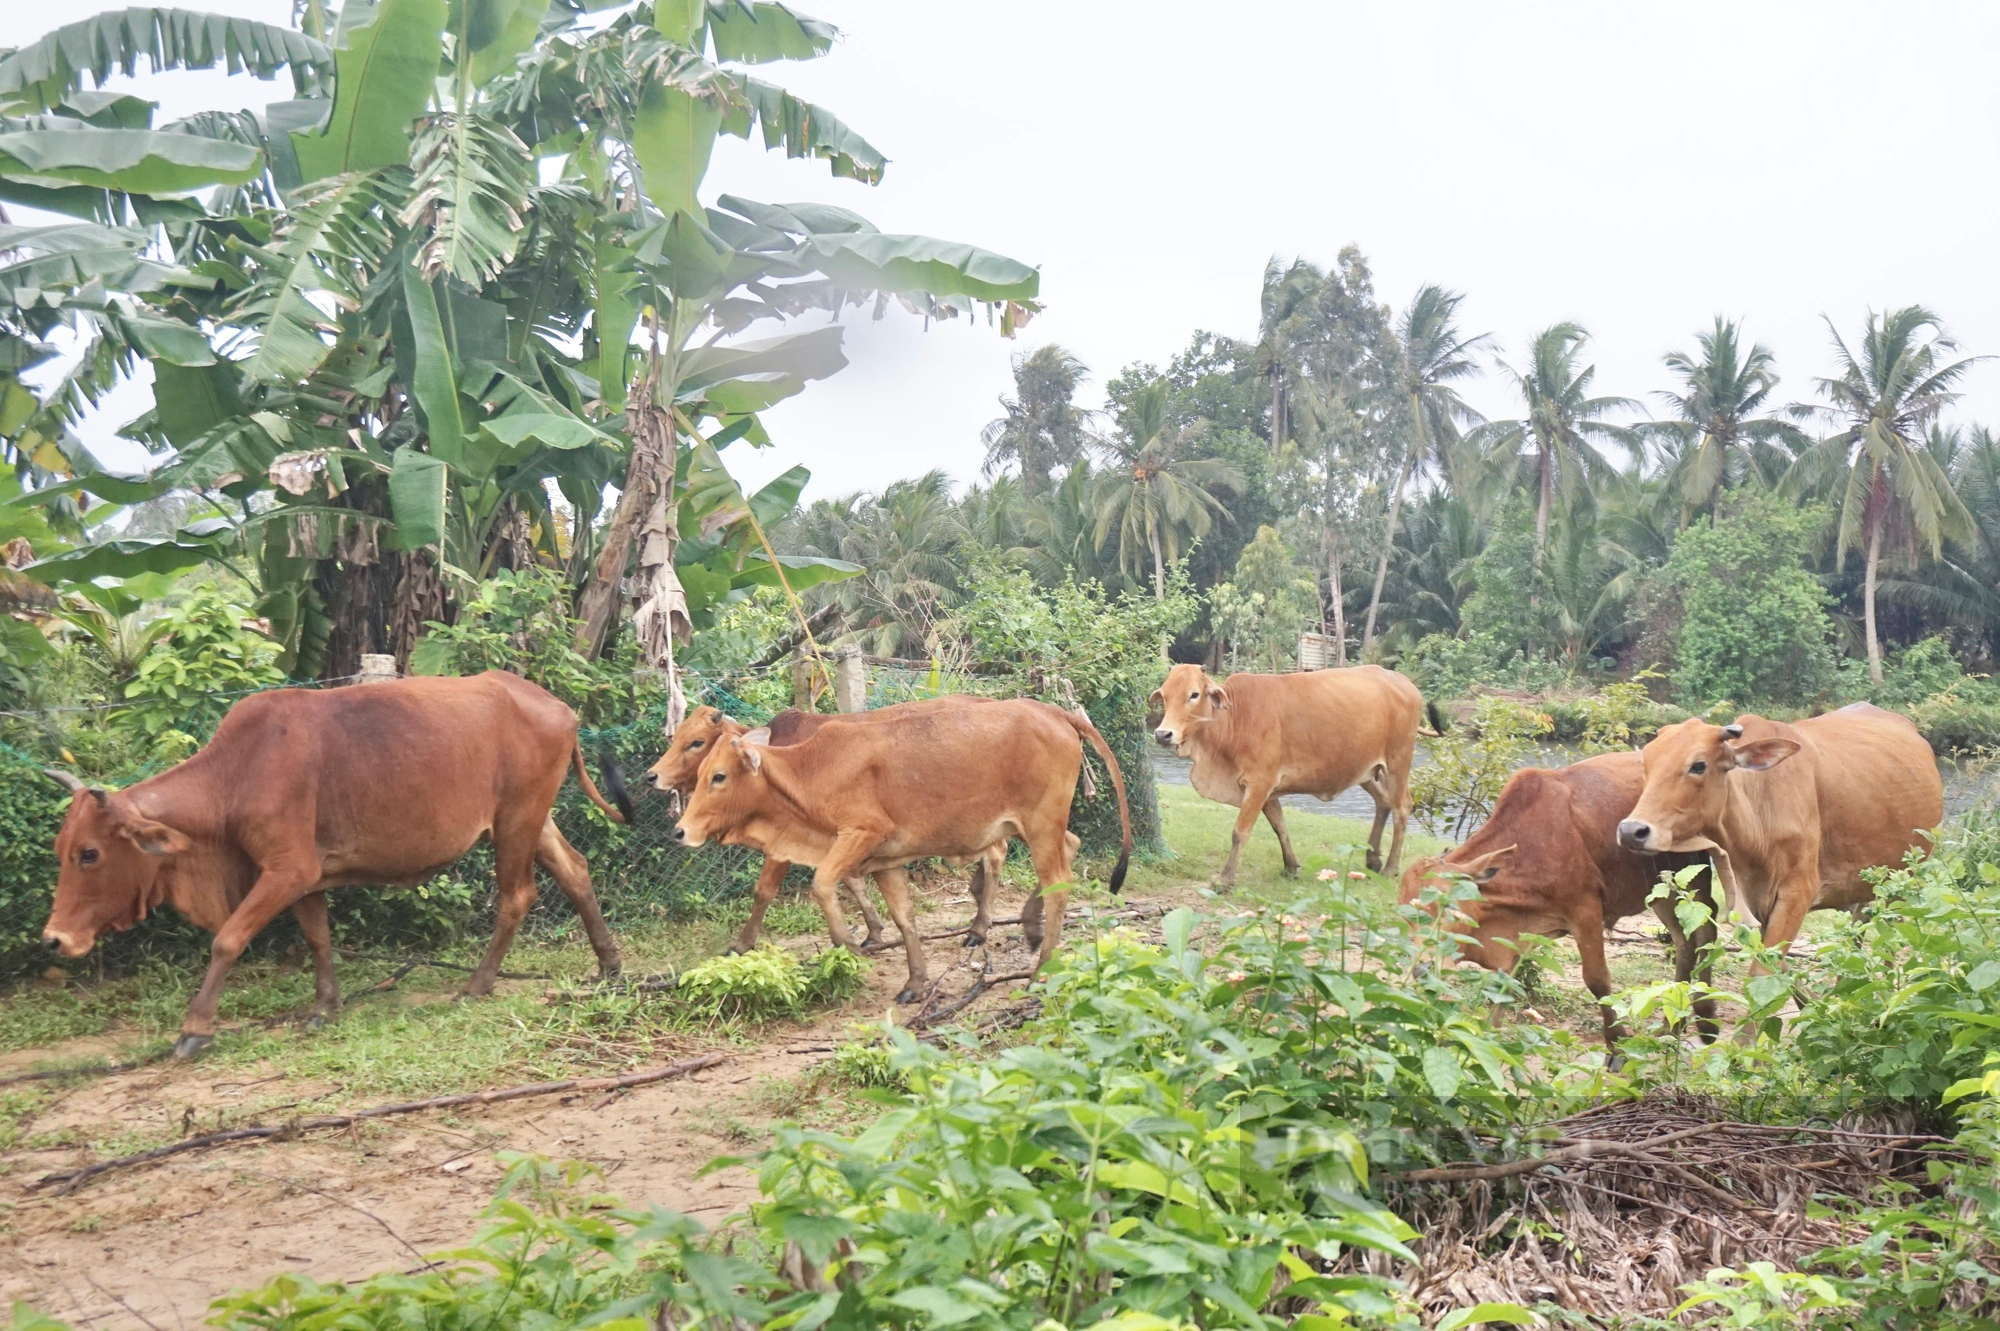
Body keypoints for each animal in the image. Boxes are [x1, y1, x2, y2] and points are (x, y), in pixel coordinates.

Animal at [45, 675, 624, 1055]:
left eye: (89, 853)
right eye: (61, 849)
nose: (54, 939)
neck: (236, 775)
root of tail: (559, 707)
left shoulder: (287, 871)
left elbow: (228, 940)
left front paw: (195, 1029)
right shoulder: (306, 880)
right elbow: (318, 938)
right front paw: (325, 1006)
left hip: (517, 821)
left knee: (517, 896)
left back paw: (478, 984)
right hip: (529, 820)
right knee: (575, 871)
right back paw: (609, 967)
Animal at [676, 695, 1128, 983]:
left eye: (718, 776)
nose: (681, 830)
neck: (809, 772)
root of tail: (1053, 711)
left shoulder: (860, 833)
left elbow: (820, 884)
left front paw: (850, 946)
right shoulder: (883, 860)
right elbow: (903, 916)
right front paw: (913, 978)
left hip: (1039, 823)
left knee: (1058, 882)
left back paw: (1039, 968)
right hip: (1035, 825)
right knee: (1067, 849)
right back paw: (1028, 929)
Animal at [1408, 747, 1720, 1047]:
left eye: (1448, 907)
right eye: (1407, 919)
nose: (1421, 968)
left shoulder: (1586, 910)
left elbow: (1597, 980)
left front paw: (1616, 1045)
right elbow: (1503, 985)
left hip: (1694, 873)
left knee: (1705, 930)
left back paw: (1706, 1021)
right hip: (1661, 889)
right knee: (1684, 944)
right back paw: (1672, 1028)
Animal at [1616, 699, 1944, 971]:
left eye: (1698, 765)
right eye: (1646, 764)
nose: (1633, 831)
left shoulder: (1798, 892)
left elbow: (1763, 974)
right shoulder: (1757, 901)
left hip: (1901, 883)